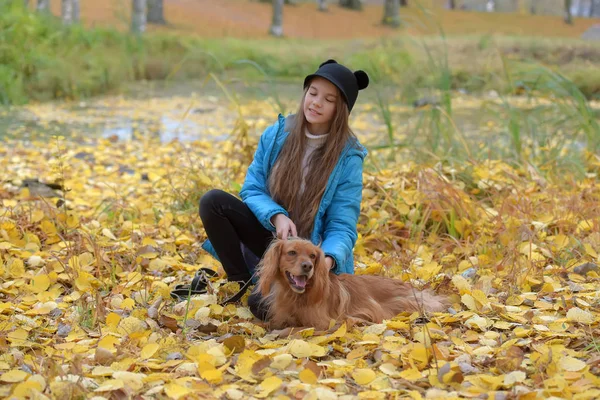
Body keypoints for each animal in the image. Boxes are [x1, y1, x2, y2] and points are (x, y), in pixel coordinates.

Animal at [255, 239, 448, 330]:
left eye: (313, 256)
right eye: (292, 252)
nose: (308, 266)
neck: (297, 296)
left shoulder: (324, 324)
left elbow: (296, 329)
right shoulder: (280, 317)